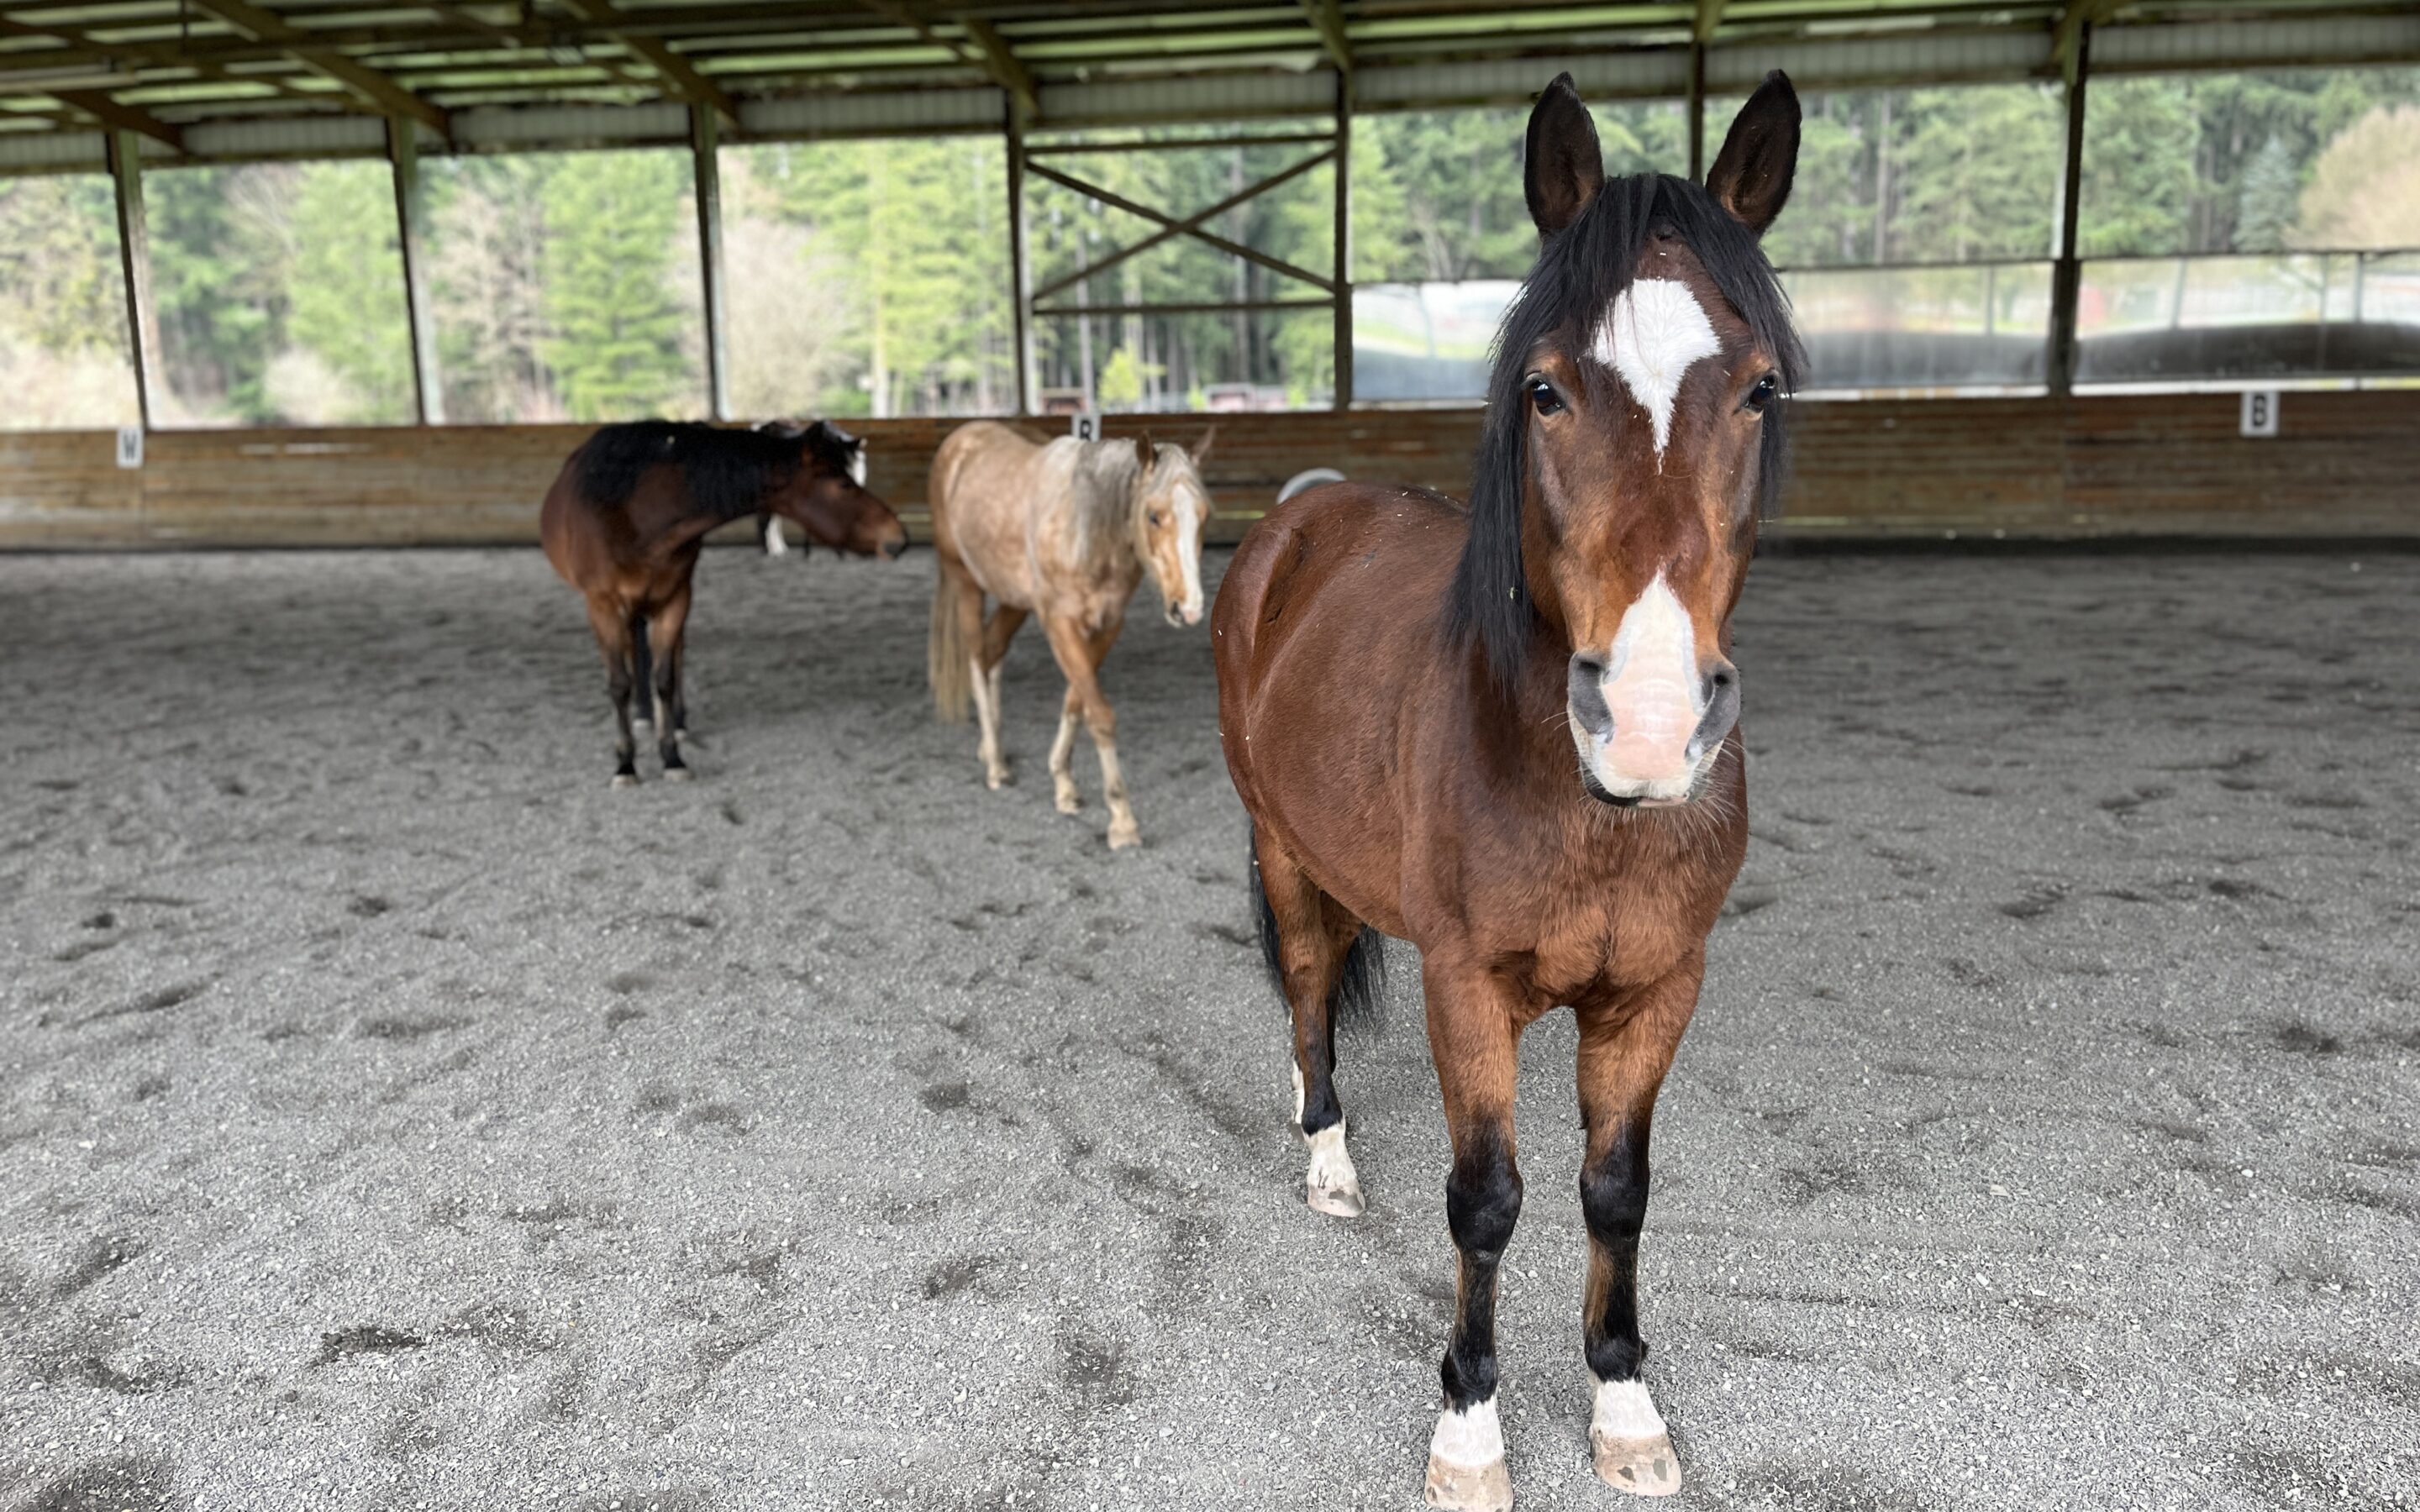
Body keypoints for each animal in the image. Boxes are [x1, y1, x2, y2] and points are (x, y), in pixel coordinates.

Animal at [542, 418, 909, 784]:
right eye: (843, 483)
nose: (898, 537)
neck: (637, 512)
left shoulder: (676, 599)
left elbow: (665, 678)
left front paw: (672, 756)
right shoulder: (602, 606)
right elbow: (619, 685)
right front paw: (625, 764)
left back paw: (674, 721)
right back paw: (644, 715)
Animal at [934, 418, 1219, 851]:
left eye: (1203, 515)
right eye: (1154, 516)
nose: (1188, 608)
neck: (1086, 532)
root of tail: (961, 439)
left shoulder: (1107, 625)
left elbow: (1076, 701)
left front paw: (1064, 783)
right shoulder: (1060, 624)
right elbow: (1099, 713)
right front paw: (1122, 820)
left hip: (1013, 599)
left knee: (992, 651)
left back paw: (990, 746)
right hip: (965, 581)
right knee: (977, 657)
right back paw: (996, 764)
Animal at [1210, 73, 1800, 1509]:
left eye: (1759, 388)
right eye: (1545, 389)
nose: (1648, 721)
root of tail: (1302, 520)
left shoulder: (1658, 990)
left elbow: (1615, 1191)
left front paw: (1626, 1405)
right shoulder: (1465, 986)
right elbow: (1485, 1200)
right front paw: (1469, 1426)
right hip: (1283, 852)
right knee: (1307, 990)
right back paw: (1327, 1156)